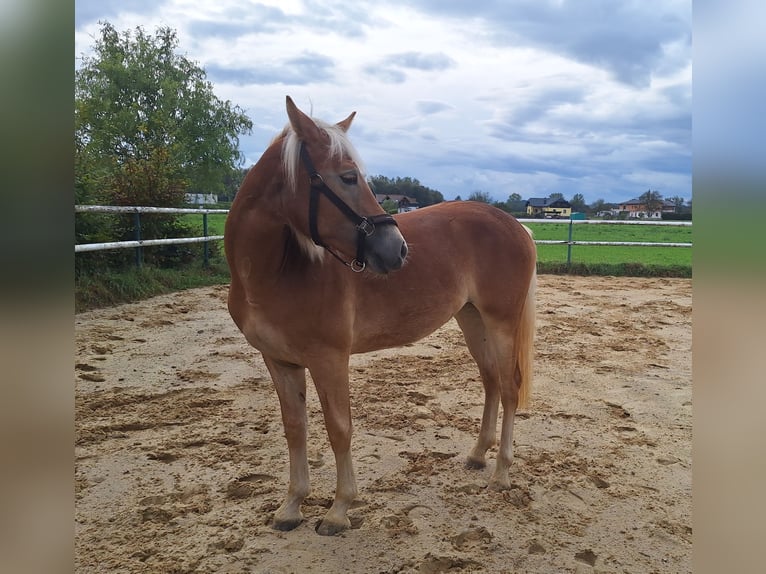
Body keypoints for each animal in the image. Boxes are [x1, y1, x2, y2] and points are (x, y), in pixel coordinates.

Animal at [226, 97, 540, 536]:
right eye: (347, 177)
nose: (398, 249)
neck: (274, 273)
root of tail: (518, 226)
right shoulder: (279, 360)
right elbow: (295, 429)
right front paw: (291, 506)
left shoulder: (329, 359)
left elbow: (339, 429)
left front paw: (339, 510)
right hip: (472, 319)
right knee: (491, 381)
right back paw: (478, 455)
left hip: (501, 321)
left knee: (510, 387)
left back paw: (501, 473)